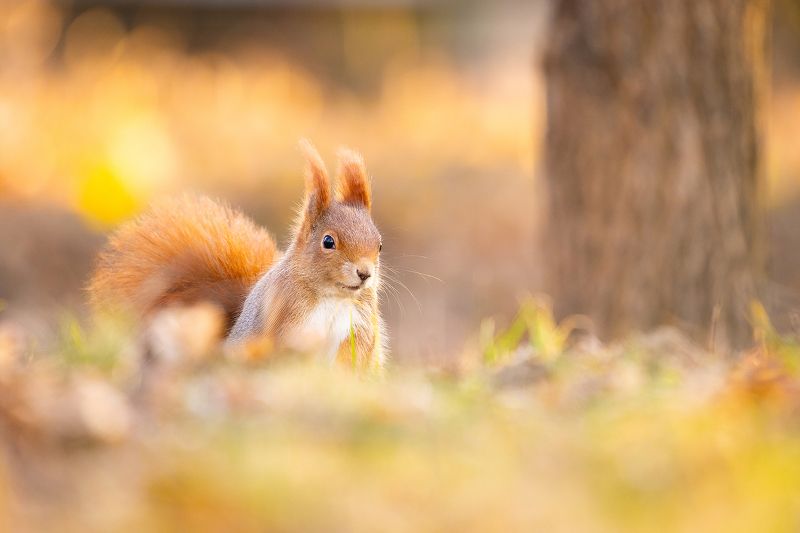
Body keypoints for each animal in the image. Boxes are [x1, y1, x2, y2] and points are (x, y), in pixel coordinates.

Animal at [89, 141, 386, 369]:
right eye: (328, 241)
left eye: (379, 245)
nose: (365, 273)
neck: (334, 297)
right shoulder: (285, 314)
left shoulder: (360, 326)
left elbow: (354, 358)